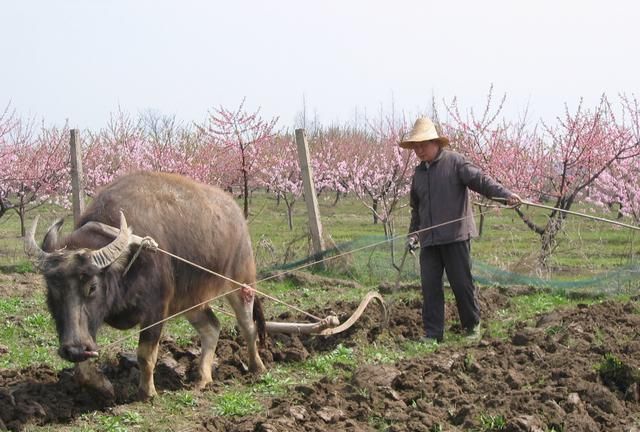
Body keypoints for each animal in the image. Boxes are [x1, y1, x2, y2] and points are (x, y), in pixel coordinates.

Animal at [25, 171, 264, 398]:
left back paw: (256, 367)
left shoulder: (155, 311)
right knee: (212, 328)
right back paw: (203, 378)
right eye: (52, 291)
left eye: (92, 287)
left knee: (248, 326)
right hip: (190, 300)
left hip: (241, 284)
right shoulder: (88, 329)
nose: (73, 349)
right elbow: (82, 365)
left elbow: (145, 354)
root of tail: (237, 217)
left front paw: (146, 392)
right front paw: (104, 387)